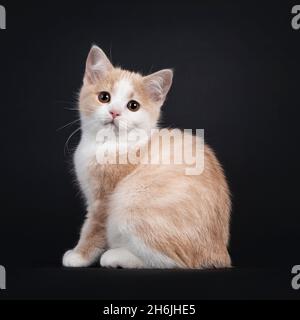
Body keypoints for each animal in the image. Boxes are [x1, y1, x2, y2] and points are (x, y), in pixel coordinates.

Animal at [62, 45, 232, 268]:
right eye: (104, 97)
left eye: (133, 106)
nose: (114, 112)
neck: (107, 144)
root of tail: (219, 252)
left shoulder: (104, 201)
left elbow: (93, 228)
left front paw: (79, 255)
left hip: (132, 202)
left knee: (172, 262)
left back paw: (116, 256)